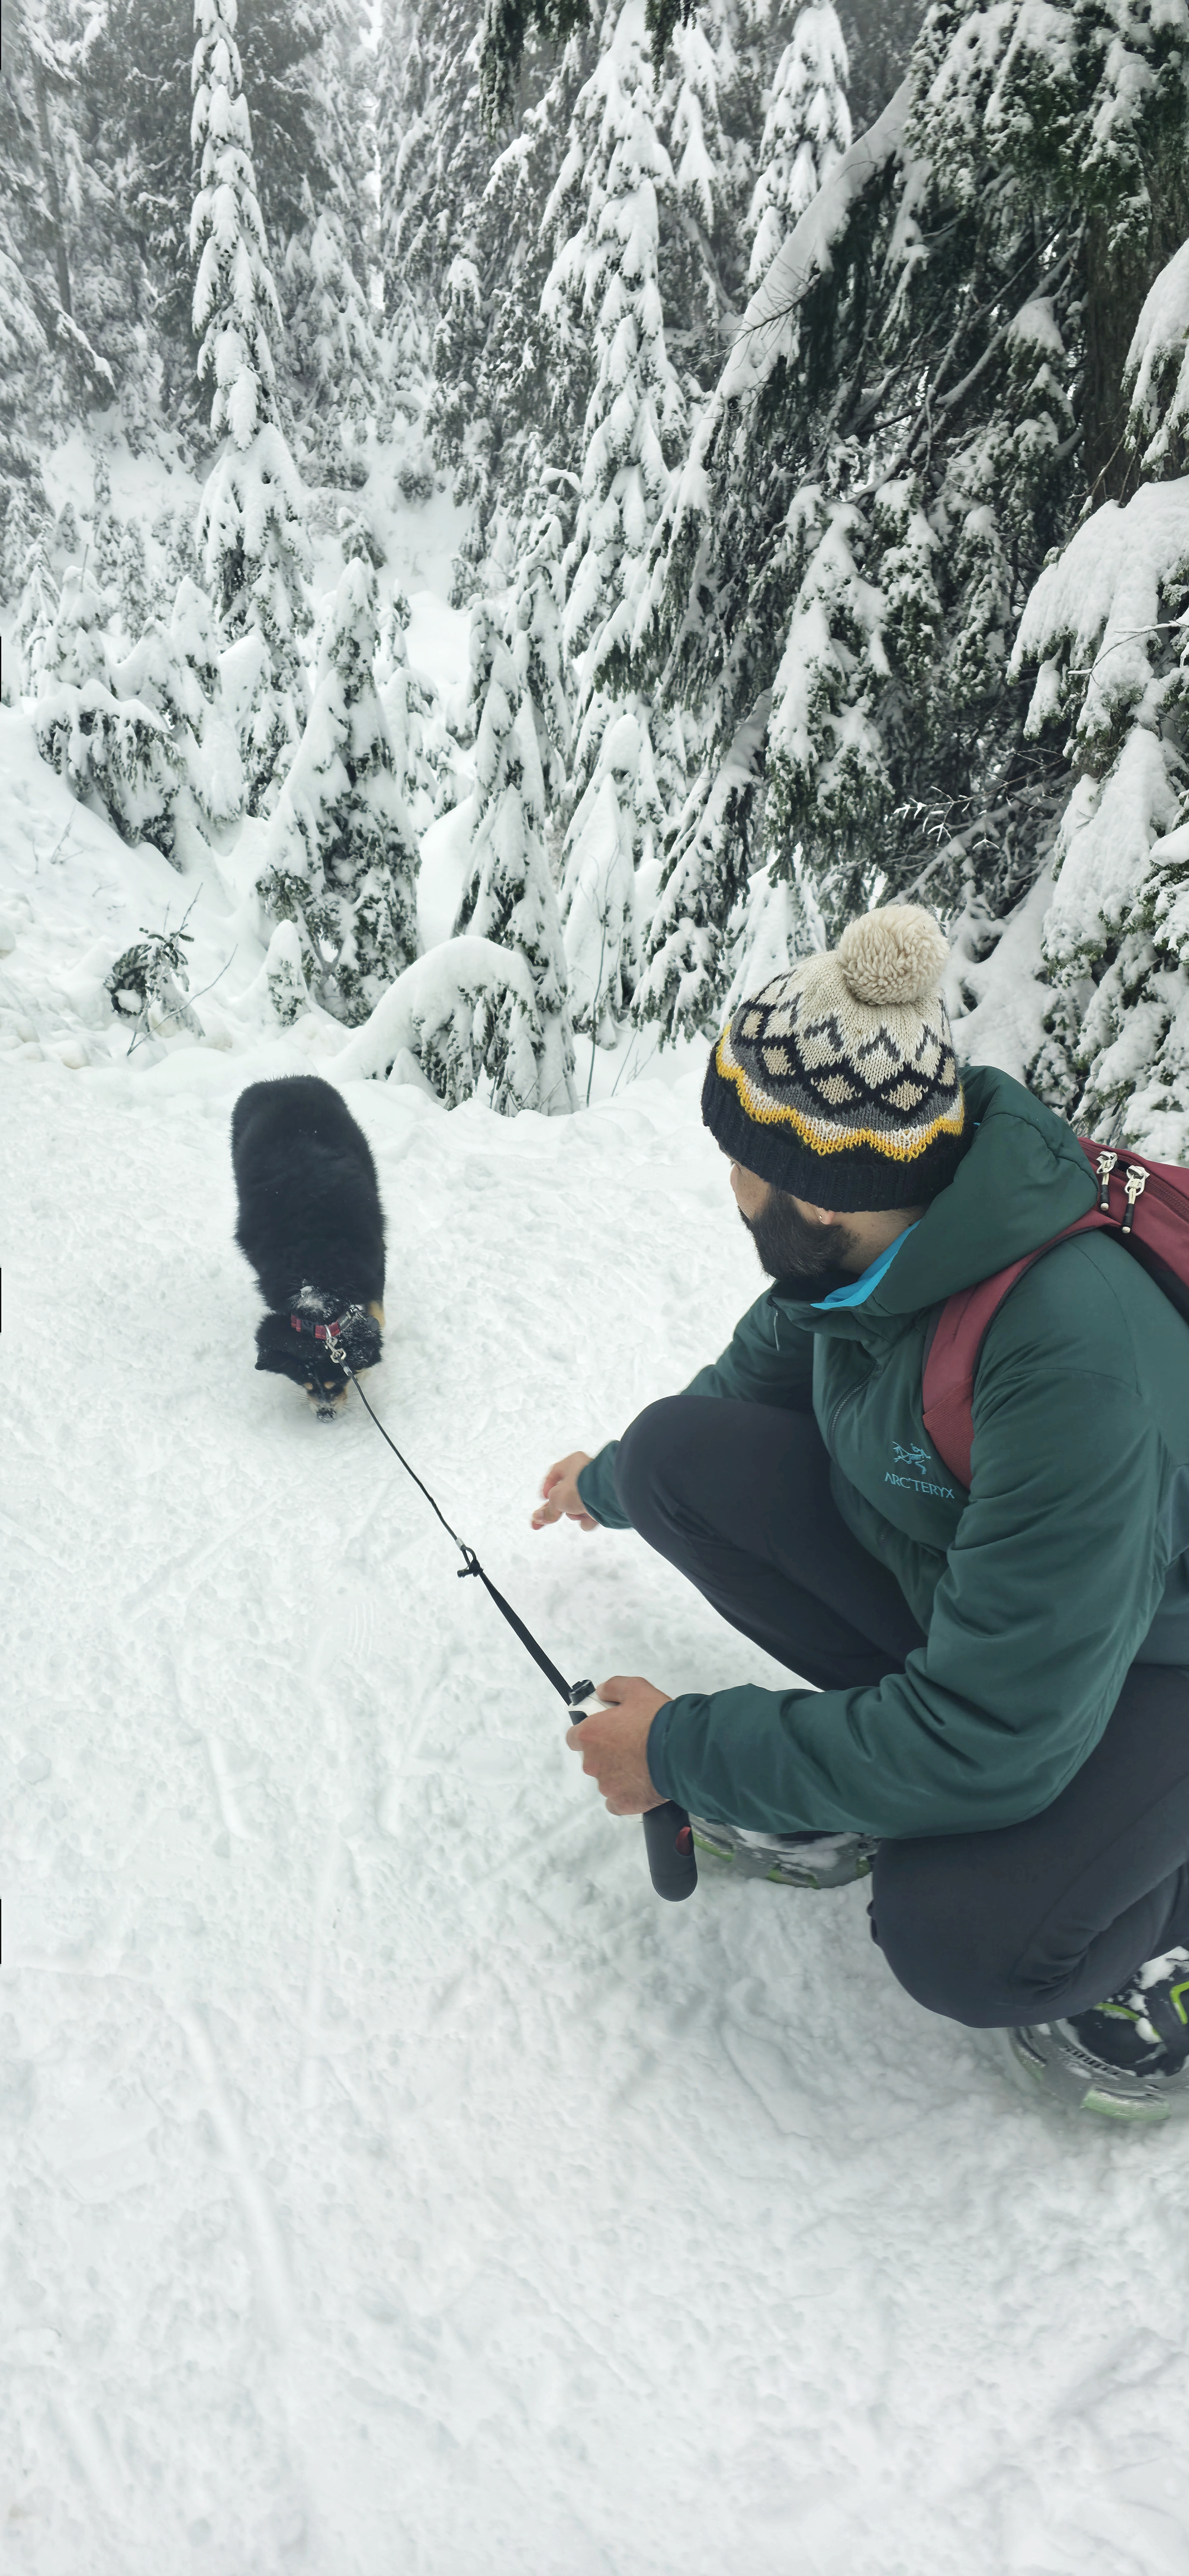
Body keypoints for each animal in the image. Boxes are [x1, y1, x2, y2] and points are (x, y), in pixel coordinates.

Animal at [231, 1075, 386, 1420]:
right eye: (303, 1381)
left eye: (338, 1380)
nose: (325, 1415)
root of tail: (280, 1081)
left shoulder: (374, 1262)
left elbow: (377, 1317)